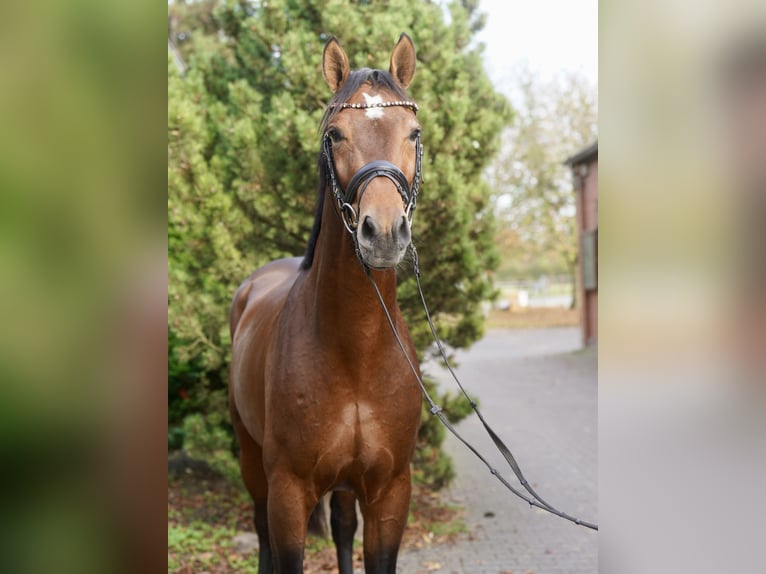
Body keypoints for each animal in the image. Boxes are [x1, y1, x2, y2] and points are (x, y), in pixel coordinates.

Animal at [230, 33, 426, 572]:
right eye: (335, 134)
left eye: (414, 134)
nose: (384, 233)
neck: (355, 349)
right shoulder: (288, 494)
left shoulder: (389, 493)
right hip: (251, 459)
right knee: (260, 532)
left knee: (340, 528)